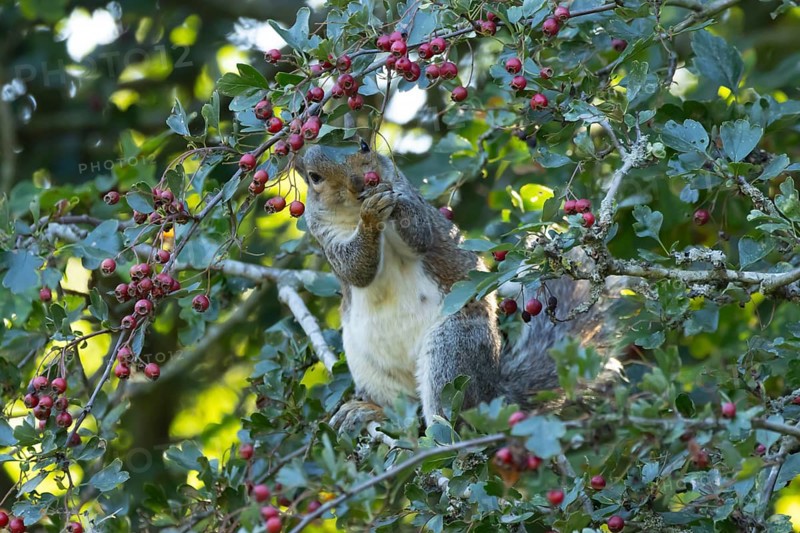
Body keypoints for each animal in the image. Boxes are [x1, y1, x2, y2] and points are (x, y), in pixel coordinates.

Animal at [297, 141, 617, 429]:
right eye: (314, 176)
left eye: (364, 146)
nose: (359, 181)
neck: (354, 209)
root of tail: (492, 397)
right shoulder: (324, 236)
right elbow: (354, 269)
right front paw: (369, 216)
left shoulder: (412, 199)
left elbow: (421, 234)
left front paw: (387, 200)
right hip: (369, 369)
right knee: (405, 412)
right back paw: (369, 412)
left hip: (453, 349)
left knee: (450, 413)